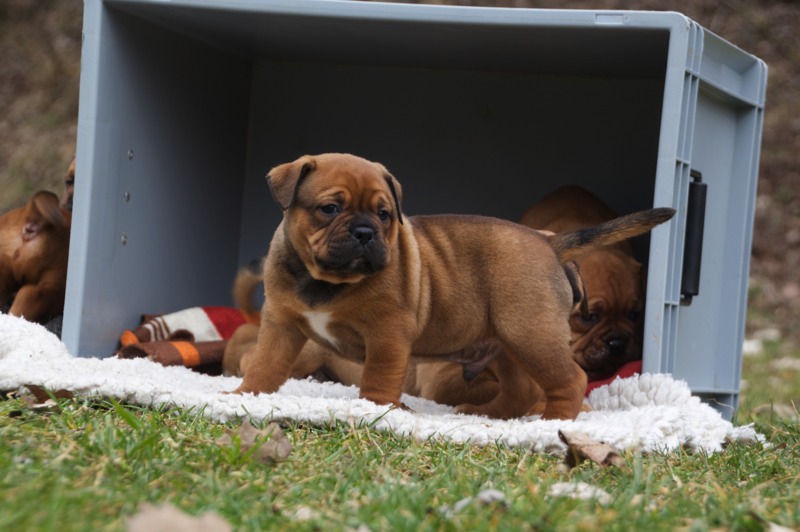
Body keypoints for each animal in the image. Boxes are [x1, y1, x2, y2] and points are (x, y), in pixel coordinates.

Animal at [233, 154, 676, 420]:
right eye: (330, 208)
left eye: (384, 214)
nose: (365, 232)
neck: (325, 280)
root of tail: (551, 242)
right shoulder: (281, 325)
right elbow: (265, 363)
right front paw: (245, 395)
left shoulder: (387, 334)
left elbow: (378, 375)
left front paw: (375, 411)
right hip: (507, 345)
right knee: (519, 390)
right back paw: (485, 416)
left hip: (531, 335)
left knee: (570, 380)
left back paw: (550, 424)